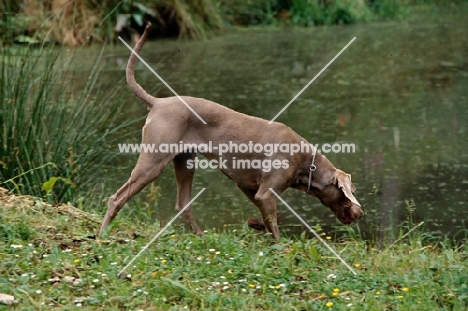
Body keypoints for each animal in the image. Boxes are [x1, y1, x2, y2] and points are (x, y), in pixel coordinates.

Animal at [98, 24, 364, 240]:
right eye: (351, 192)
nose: (361, 213)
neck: (306, 163)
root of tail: (157, 102)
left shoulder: (250, 187)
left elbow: (269, 219)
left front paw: (255, 225)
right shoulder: (266, 192)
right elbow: (275, 226)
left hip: (184, 161)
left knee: (182, 203)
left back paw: (201, 236)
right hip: (153, 161)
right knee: (116, 197)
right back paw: (102, 235)